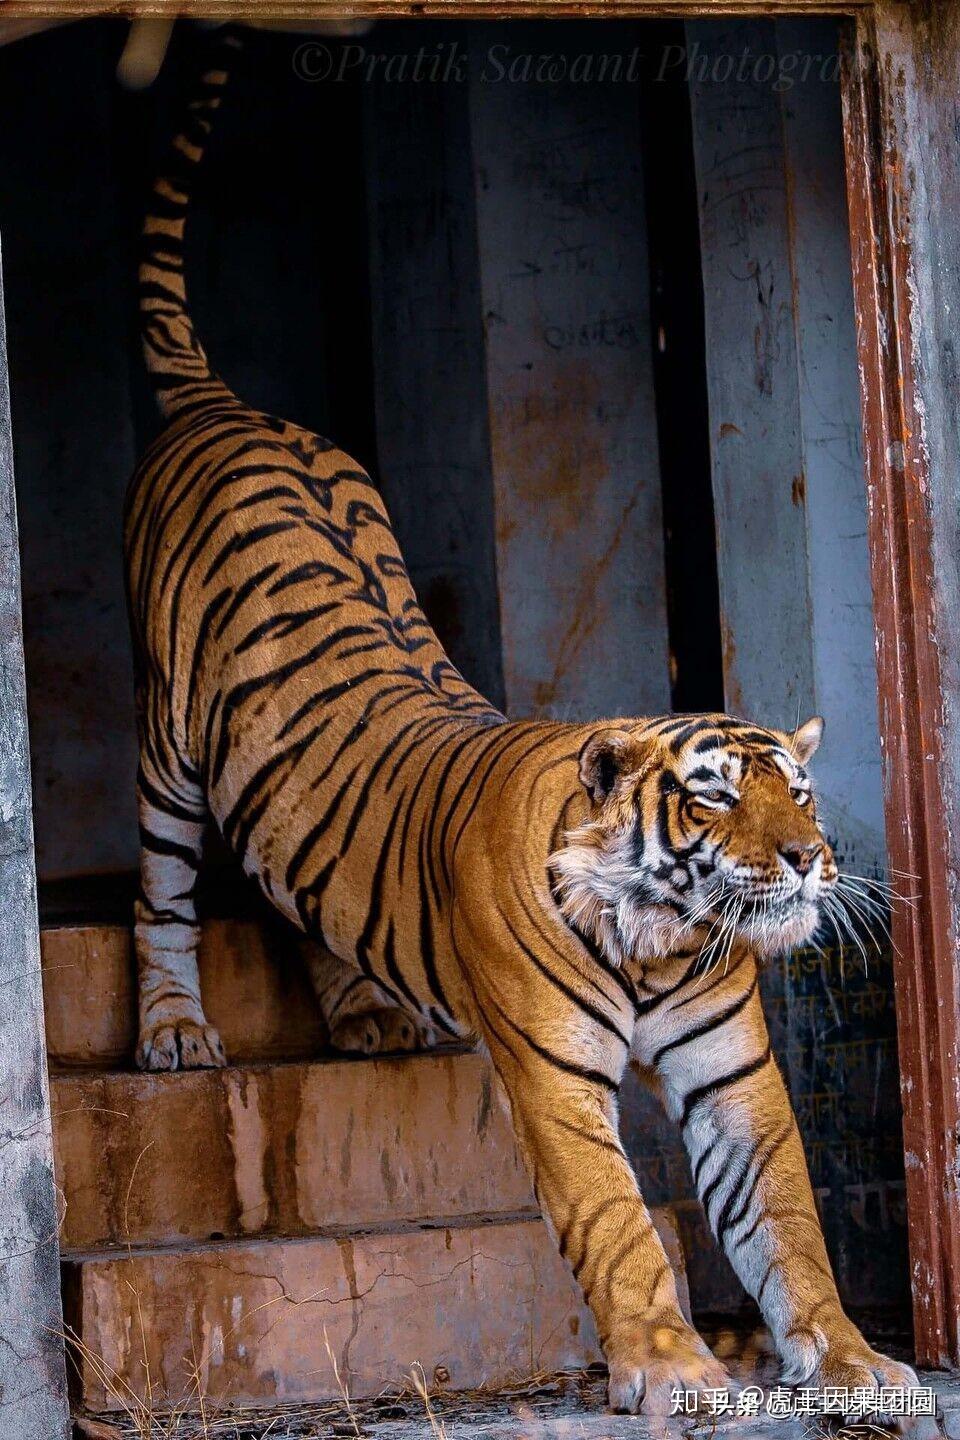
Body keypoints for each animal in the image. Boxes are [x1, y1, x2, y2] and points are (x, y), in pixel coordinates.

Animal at [126, 29, 917, 1416]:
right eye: (717, 793)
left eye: (803, 790)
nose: (814, 860)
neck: (665, 940)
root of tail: (232, 404)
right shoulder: (553, 1077)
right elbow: (618, 1222)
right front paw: (678, 1371)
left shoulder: (738, 1074)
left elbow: (791, 1227)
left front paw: (855, 1361)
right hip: (170, 746)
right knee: (161, 888)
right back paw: (174, 1031)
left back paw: (365, 1012)